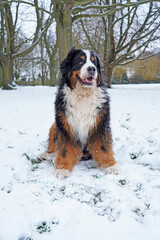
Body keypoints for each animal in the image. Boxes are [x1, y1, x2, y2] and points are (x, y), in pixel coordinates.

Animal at [37, 48, 119, 179]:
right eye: (80, 62)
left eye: (93, 62)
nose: (92, 69)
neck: (83, 95)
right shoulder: (66, 126)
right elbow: (64, 150)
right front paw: (62, 168)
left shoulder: (100, 124)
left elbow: (103, 147)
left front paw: (110, 166)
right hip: (54, 125)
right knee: (55, 148)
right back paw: (47, 155)